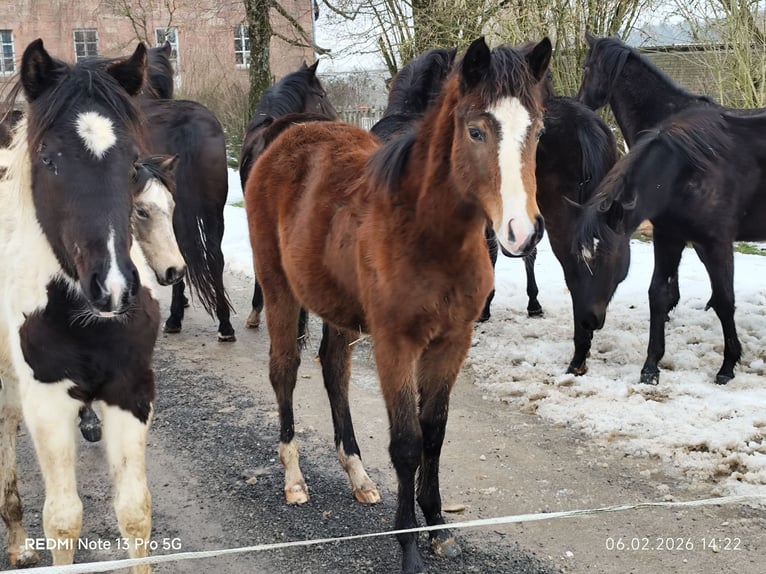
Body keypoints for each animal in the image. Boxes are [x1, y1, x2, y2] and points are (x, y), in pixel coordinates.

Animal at [0, 39, 171, 572]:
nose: (113, 287)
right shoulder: (47, 403)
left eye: (133, 163)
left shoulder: (130, 393)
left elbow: (135, 512)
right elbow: (62, 521)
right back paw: (17, 540)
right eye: (49, 159)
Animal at [572, 106, 766, 385]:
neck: (685, 174)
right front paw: (650, 367)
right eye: (577, 257)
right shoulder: (668, 238)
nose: (588, 320)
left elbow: (724, 301)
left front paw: (727, 366)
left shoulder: (716, 244)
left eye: (607, 257)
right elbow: (659, 295)